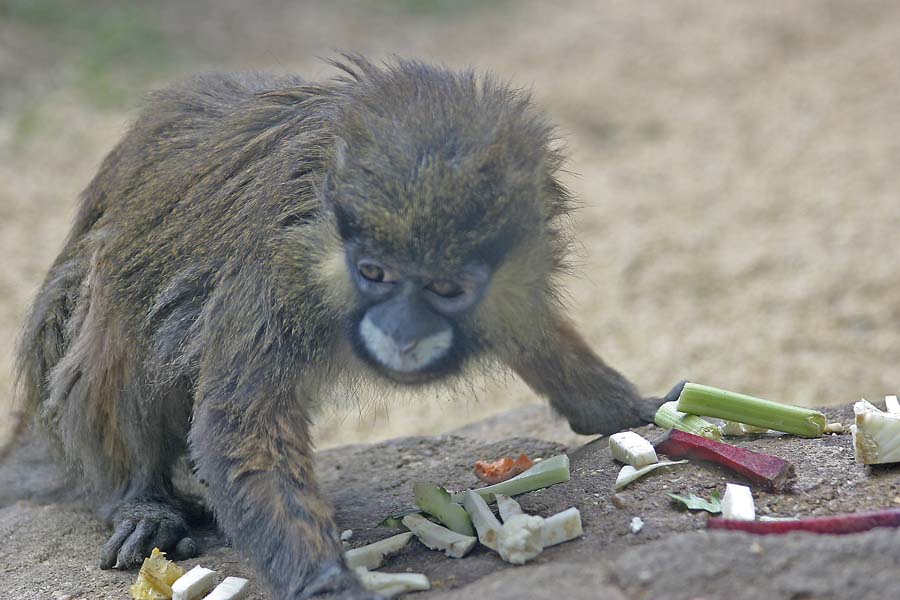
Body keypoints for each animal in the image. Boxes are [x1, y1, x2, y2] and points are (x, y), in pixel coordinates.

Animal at [12, 54, 684, 596]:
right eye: (374, 273)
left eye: (445, 289)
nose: (403, 331)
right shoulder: (274, 269)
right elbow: (241, 426)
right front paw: (325, 581)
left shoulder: (520, 267)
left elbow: (537, 336)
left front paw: (635, 410)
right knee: (115, 306)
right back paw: (141, 501)